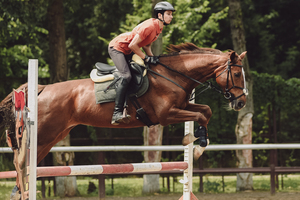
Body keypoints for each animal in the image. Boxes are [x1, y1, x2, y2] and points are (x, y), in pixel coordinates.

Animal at [0, 42, 247, 198]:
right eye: (236, 74)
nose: (241, 103)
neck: (173, 74)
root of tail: (41, 89)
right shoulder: (166, 114)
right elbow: (201, 114)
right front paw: (195, 143)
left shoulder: (182, 106)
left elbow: (205, 111)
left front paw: (195, 144)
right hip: (44, 133)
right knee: (20, 161)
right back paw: (21, 192)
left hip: (53, 135)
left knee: (25, 162)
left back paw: (18, 191)